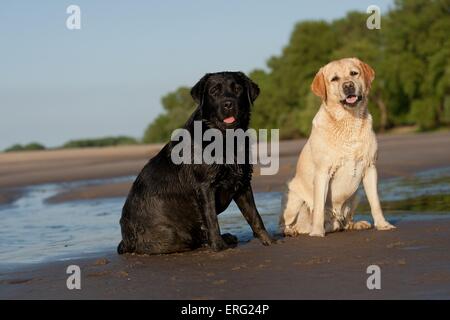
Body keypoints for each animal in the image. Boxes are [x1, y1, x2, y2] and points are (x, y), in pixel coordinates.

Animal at [118, 71, 272, 254]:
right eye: (214, 91)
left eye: (238, 89)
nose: (228, 104)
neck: (225, 140)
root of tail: (125, 241)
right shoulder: (205, 186)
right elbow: (211, 220)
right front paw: (219, 247)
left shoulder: (242, 183)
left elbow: (255, 216)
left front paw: (269, 241)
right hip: (171, 234)